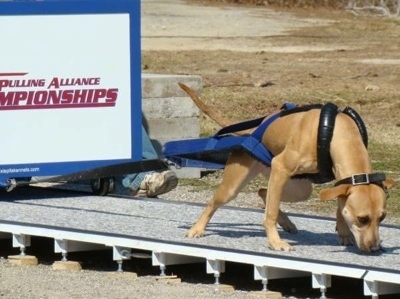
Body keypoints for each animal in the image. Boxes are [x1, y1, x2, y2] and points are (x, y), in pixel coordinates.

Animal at [180, 83, 396, 254]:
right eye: (363, 219)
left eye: (382, 217)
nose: (375, 249)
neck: (337, 132)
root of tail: (251, 130)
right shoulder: (281, 167)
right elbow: (270, 214)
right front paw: (275, 242)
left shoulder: (340, 182)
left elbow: (340, 205)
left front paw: (343, 233)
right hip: (237, 184)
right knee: (216, 203)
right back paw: (197, 229)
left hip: (298, 187)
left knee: (264, 192)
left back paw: (287, 222)